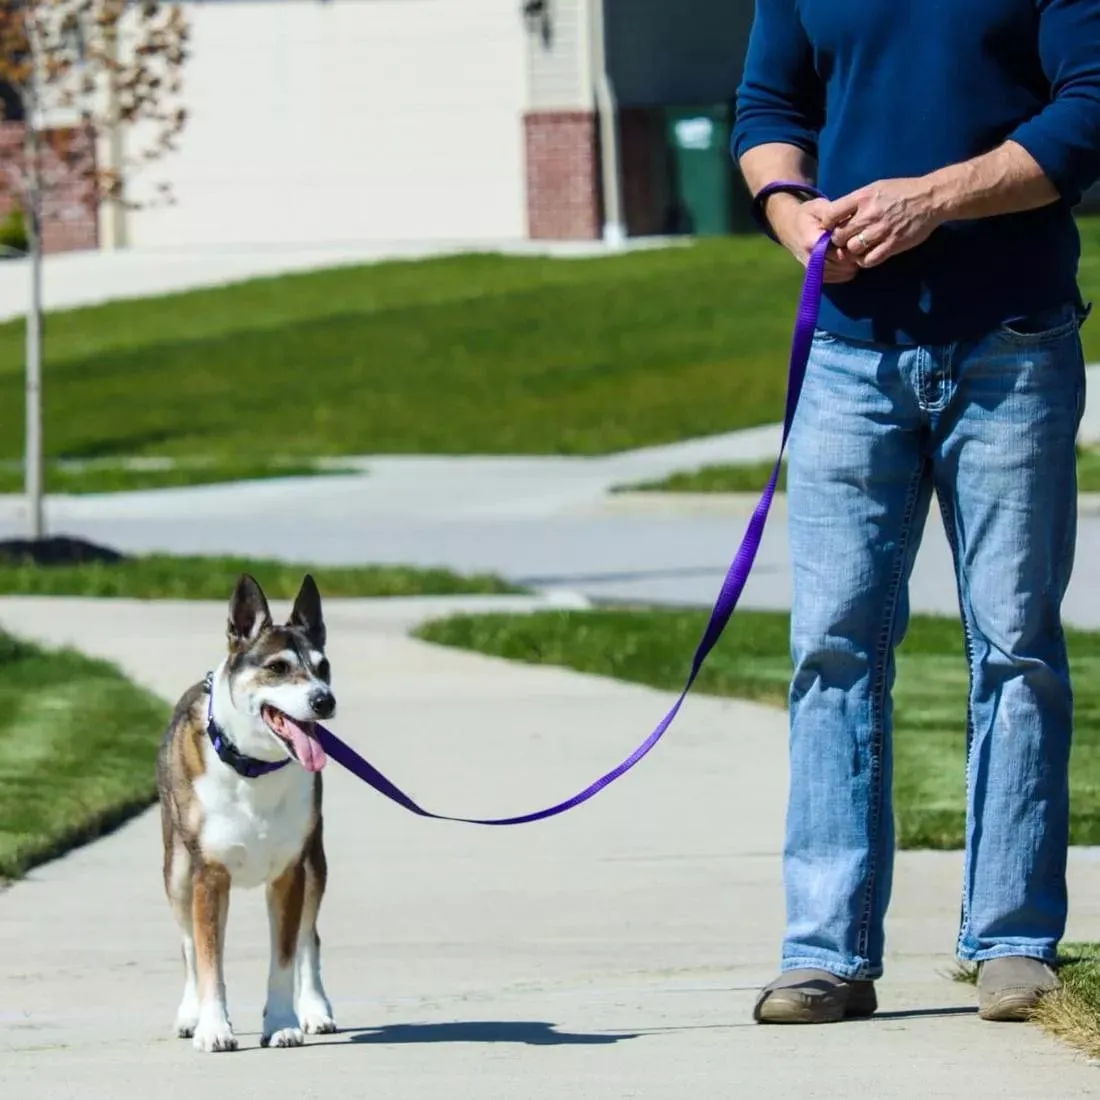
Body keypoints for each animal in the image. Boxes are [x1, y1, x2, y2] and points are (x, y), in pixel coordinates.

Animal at [156, 572, 338, 1051]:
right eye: (277, 668)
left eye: (324, 667)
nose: (324, 701)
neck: (254, 767)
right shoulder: (208, 875)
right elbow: (207, 959)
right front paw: (213, 1028)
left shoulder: (290, 872)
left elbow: (286, 956)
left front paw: (283, 1023)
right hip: (177, 869)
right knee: (187, 942)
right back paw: (190, 1015)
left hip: (315, 860)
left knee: (310, 936)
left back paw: (316, 1010)